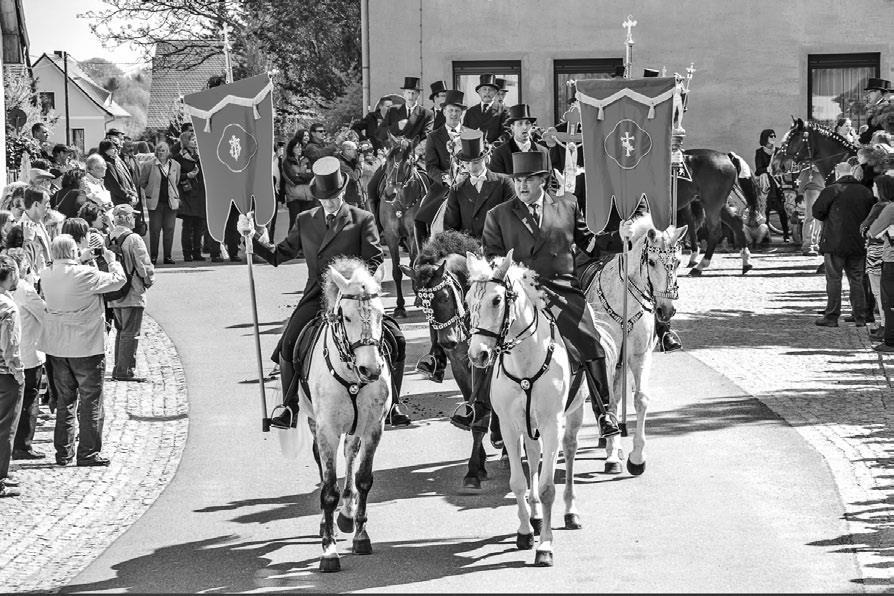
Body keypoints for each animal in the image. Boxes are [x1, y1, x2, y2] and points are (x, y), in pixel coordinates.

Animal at [297, 257, 391, 573]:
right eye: (346, 318)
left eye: (381, 314)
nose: (371, 370)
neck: (351, 375)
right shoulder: (326, 429)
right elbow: (328, 489)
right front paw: (329, 550)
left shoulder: (374, 426)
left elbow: (363, 479)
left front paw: (361, 534)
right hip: (315, 422)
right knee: (322, 463)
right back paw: (326, 525)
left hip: (355, 426)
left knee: (350, 453)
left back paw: (347, 515)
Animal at [377, 138, 428, 317]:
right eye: (388, 161)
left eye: (407, 163)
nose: (389, 194)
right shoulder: (391, 236)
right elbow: (397, 272)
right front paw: (400, 306)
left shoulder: (413, 235)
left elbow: (413, 262)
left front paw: (418, 296)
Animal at [399, 230, 489, 491]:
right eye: (423, 303)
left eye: (446, 296)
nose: (447, 341)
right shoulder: (459, 365)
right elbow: (472, 405)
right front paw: (478, 465)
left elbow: (482, 410)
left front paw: (474, 469)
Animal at [465, 250, 587, 568]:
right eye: (468, 300)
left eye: (497, 300)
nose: (477, 355)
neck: (524, 361)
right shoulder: (510, 426)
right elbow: (518, 482)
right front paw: (525, 533)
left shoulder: (551, 424)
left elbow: (547, 487)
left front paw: (545, 546)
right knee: (533, 457)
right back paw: (535, 518)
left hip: (573, 415)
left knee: (569, 454)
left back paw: (570, 512)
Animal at [583, 215, 687, 476]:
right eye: (651, 261)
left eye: (678, 262)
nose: (666, 310)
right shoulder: (606, 358)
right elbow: (608, 400)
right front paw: (612, 455)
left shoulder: (639, 356)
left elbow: (640, 399)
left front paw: (637, 457)